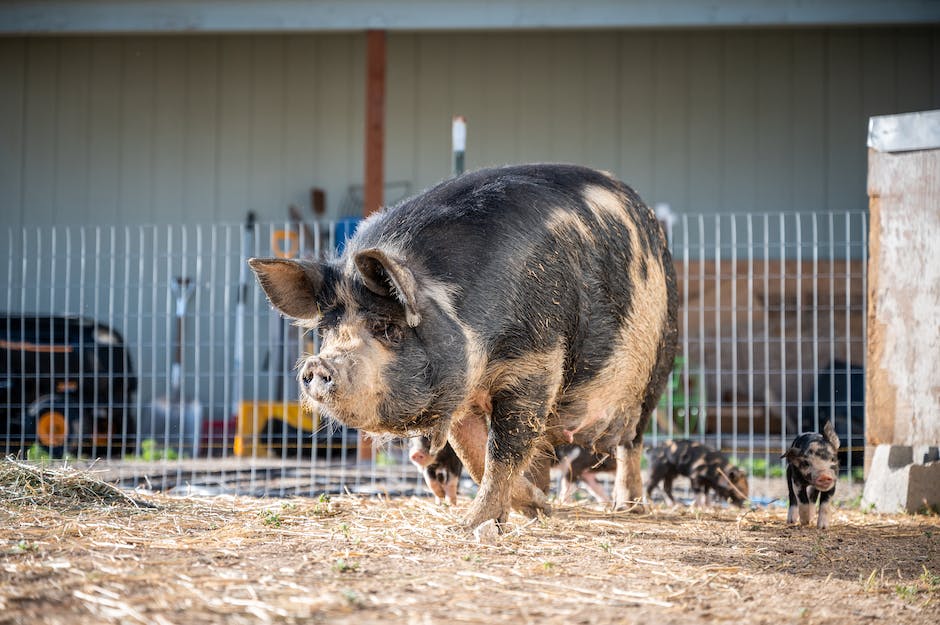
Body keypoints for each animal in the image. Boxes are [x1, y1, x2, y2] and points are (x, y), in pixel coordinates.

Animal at [250, 163, 676, 528]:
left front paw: (473, 525)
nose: (318, 366)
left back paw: (629, 507)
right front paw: (534, 509)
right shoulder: (462, 390)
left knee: (631, 443)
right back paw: (547, 505)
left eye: (387, 328)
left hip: (659, 363)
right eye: (327, 330)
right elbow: (474, 455)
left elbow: (503, 451)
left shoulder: (536, 362)